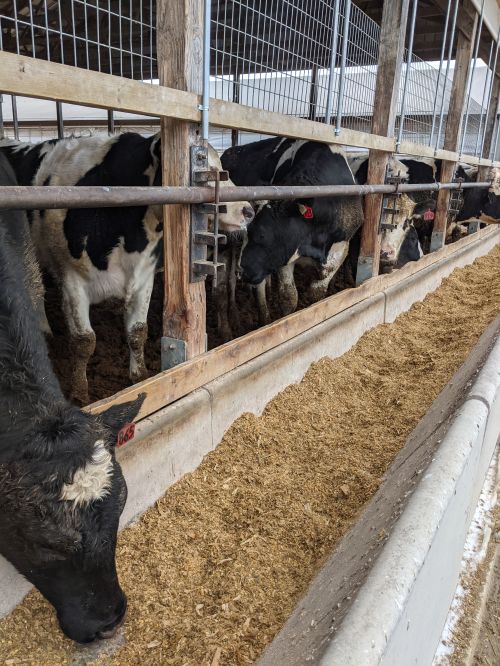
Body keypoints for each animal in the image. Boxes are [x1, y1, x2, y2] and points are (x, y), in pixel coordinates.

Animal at [0, 132, 254, 396]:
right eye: (206, 168)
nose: (248, 210)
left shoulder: (143, 277)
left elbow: (137, 331)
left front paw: (140, 376)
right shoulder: (72, 280)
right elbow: (84, 340)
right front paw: (80, 392)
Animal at [239, 139, 364, 308]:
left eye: (262, 234)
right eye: (247, 231)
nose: (241, 271)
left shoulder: (339, 250)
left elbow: (316, 295)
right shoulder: (286, 254)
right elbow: (289, 297)